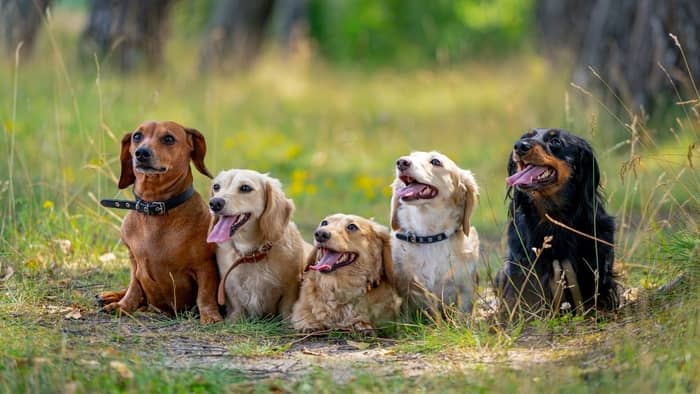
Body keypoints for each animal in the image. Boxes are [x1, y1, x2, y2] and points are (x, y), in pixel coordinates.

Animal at [205, 169, 308, 320]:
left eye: (245, 188)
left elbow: (286, 308)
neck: (251, 254)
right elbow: (237, 307)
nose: (214, 203)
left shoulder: (290, 287)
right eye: (216, 186)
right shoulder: (230, 288)